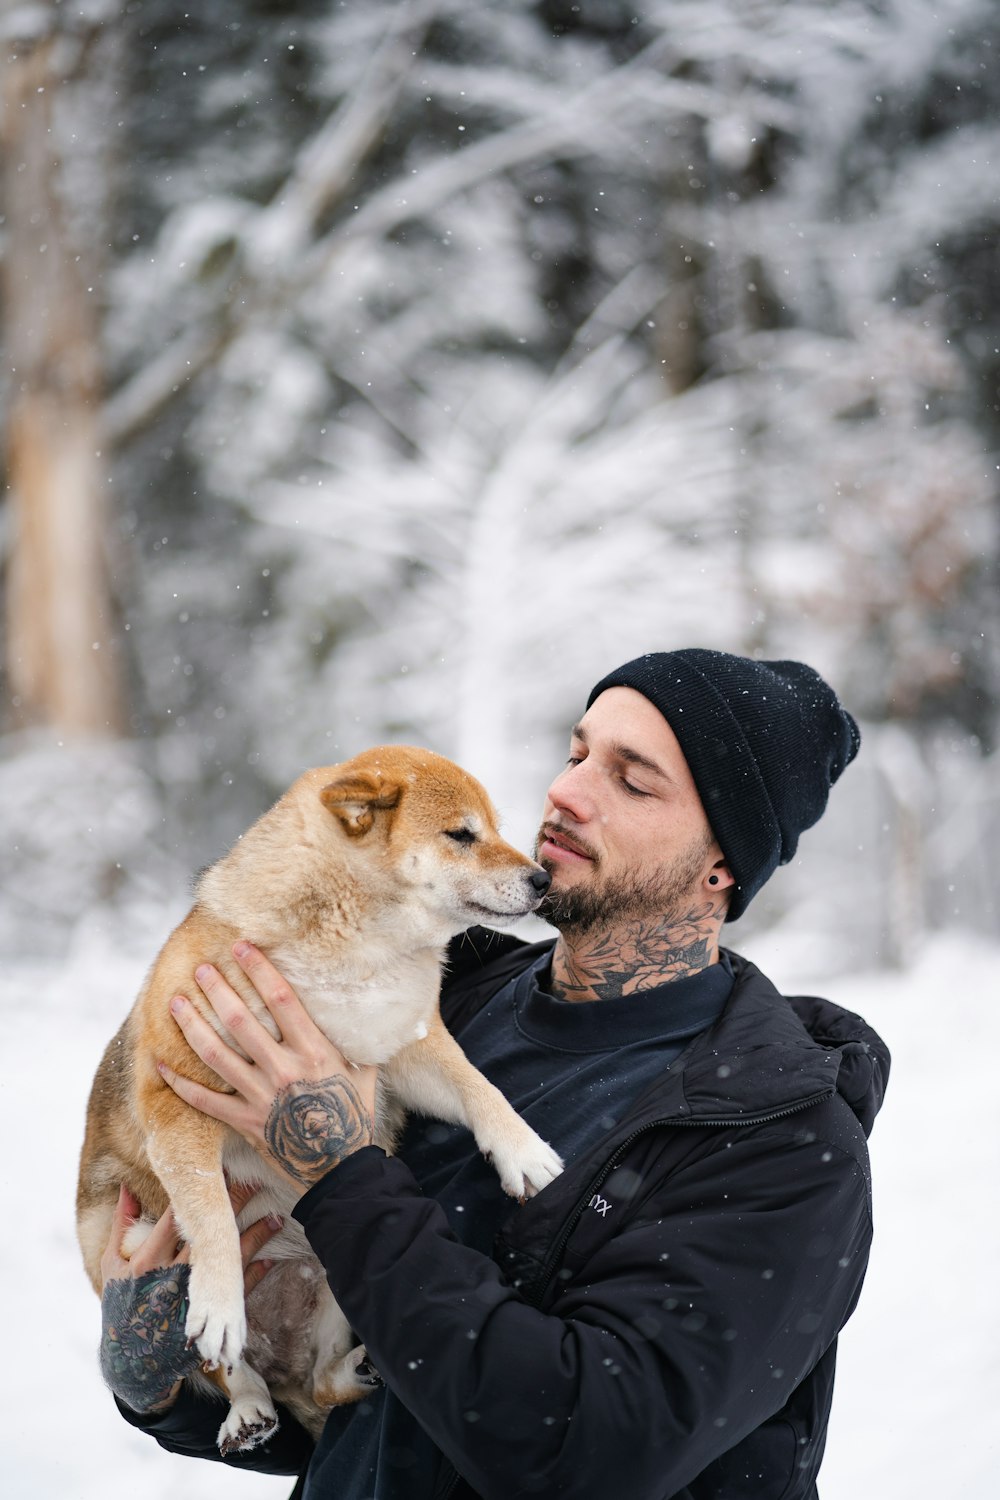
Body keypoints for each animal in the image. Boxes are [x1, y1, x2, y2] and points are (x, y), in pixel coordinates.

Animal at [78, 750, 563, 1452]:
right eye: (462, 834)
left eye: (494, 828)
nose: (543, 879)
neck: (354, 947)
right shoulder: (177, 1100)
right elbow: (212, 1215)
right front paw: (219, 1302)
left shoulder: (403, 1046)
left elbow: (479, 1086)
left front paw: (523, 1152)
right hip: (129, 1241)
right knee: (229, 1371)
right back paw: (247, 1408)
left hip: (336, 1280)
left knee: (324, 1384)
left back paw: (355, 1371)